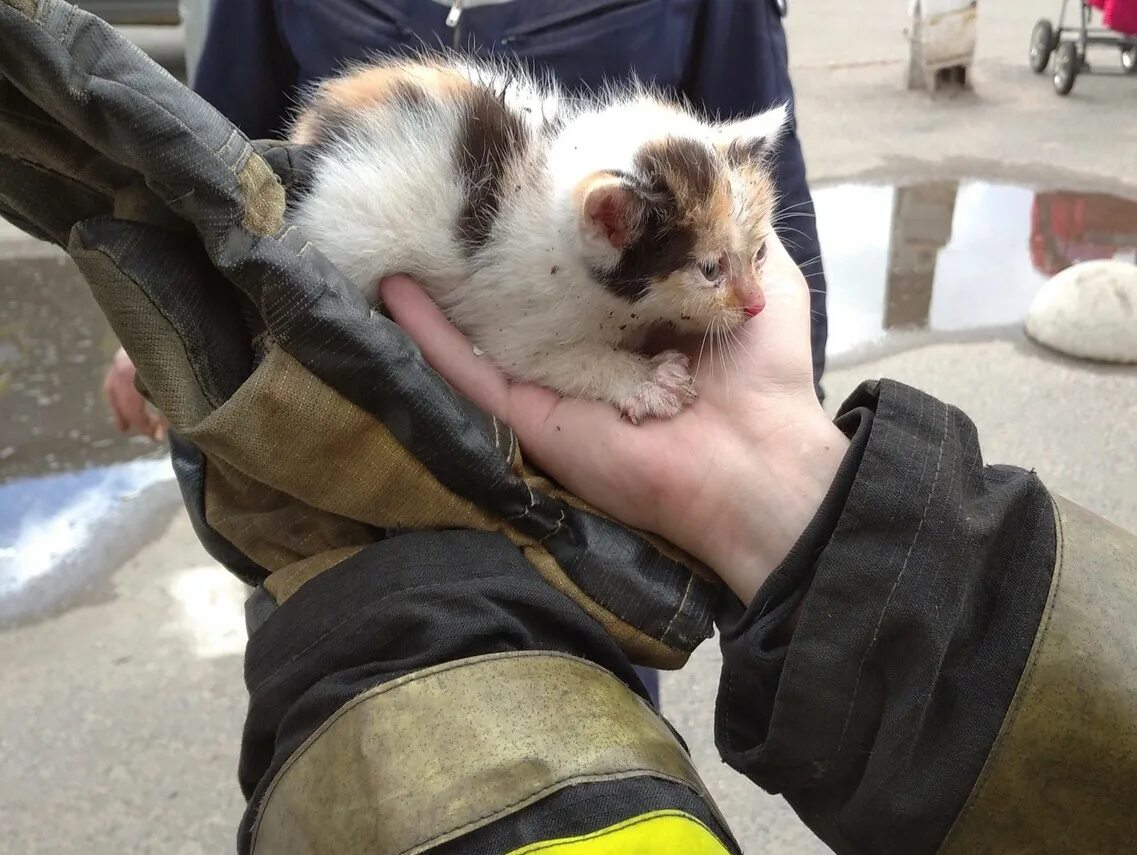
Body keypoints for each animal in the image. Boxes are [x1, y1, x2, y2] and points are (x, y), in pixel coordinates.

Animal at [288, 55, 786, 422]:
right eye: (709, 270)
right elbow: (542, 359)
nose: (757, 305)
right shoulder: (510, 319)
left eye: (759, 254)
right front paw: (647, 382)